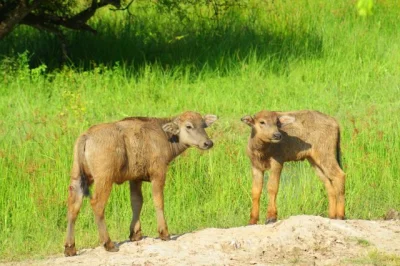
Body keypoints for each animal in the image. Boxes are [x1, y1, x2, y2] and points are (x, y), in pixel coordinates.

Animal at [64, 110, 217, 256]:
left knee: (73, 206)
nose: (208, 143)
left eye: (204, 125)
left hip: (78, 178)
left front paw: (135, 234)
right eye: (188, 126)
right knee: (97, 205)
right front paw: (164, 233)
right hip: (104, 179)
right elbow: (158, 201)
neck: (164, 135)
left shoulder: (135, 179)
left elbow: (137, 202)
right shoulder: (158, 174)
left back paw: (70, 248)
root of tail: (86, 136)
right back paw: (109, 244)